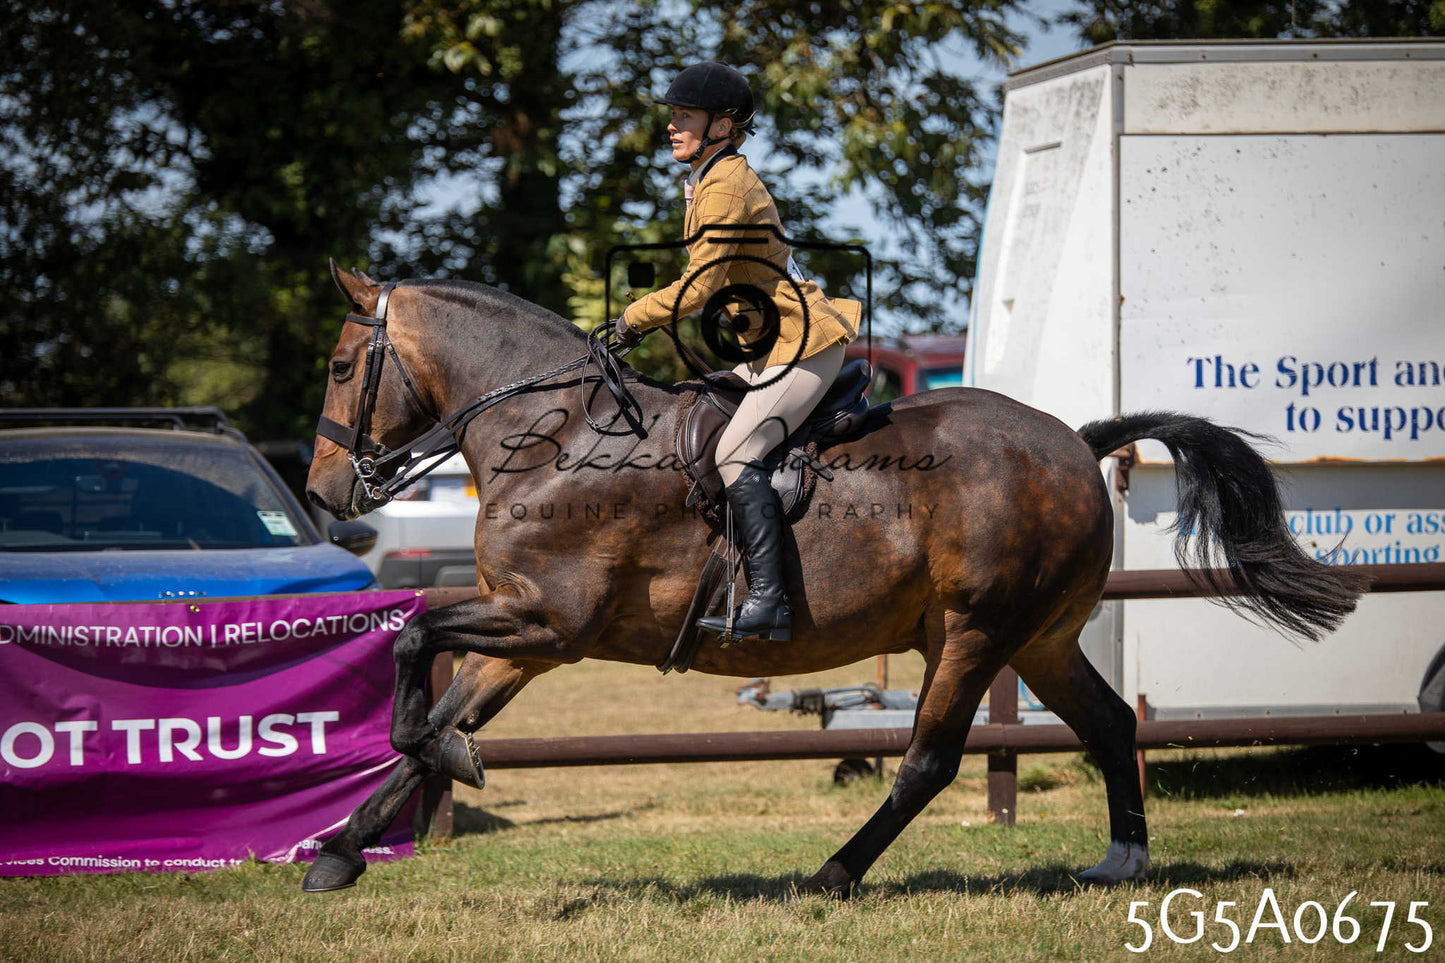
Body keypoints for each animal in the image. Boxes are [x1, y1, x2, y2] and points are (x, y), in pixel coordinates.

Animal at [301, 264, 1364, 896]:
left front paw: (430, 767)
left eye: (346, 363)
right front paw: (346, 847)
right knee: (1108, 722)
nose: (323, 493)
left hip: (974, 632)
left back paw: (831, 874)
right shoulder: (522, 637)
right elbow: (434, 715)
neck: (556, 436)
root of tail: (1072, 438)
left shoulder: (546, 624)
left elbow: (413, 652)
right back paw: (1122, 860)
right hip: (1039, 638)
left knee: (929, 760)